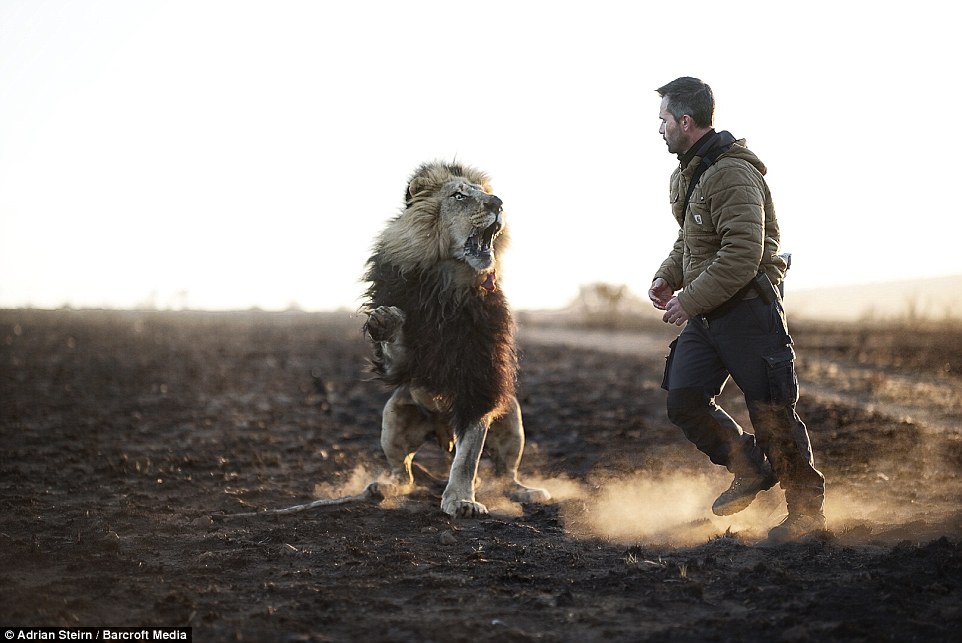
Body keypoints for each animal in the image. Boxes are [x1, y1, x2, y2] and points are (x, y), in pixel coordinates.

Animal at [360, 161, 552, 520]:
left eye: (489, 194)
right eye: (459, 195)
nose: (498, 203)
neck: (446, 286)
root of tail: (442, 433)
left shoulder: (480, 380)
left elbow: (467, 459)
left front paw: (462, 500)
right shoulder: (404, 365)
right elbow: (397, 350)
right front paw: (386, 321)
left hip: (512, 417)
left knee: (505, 474)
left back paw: (528, 492)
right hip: (392, 416)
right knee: (403, 473)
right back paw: (383, 487)